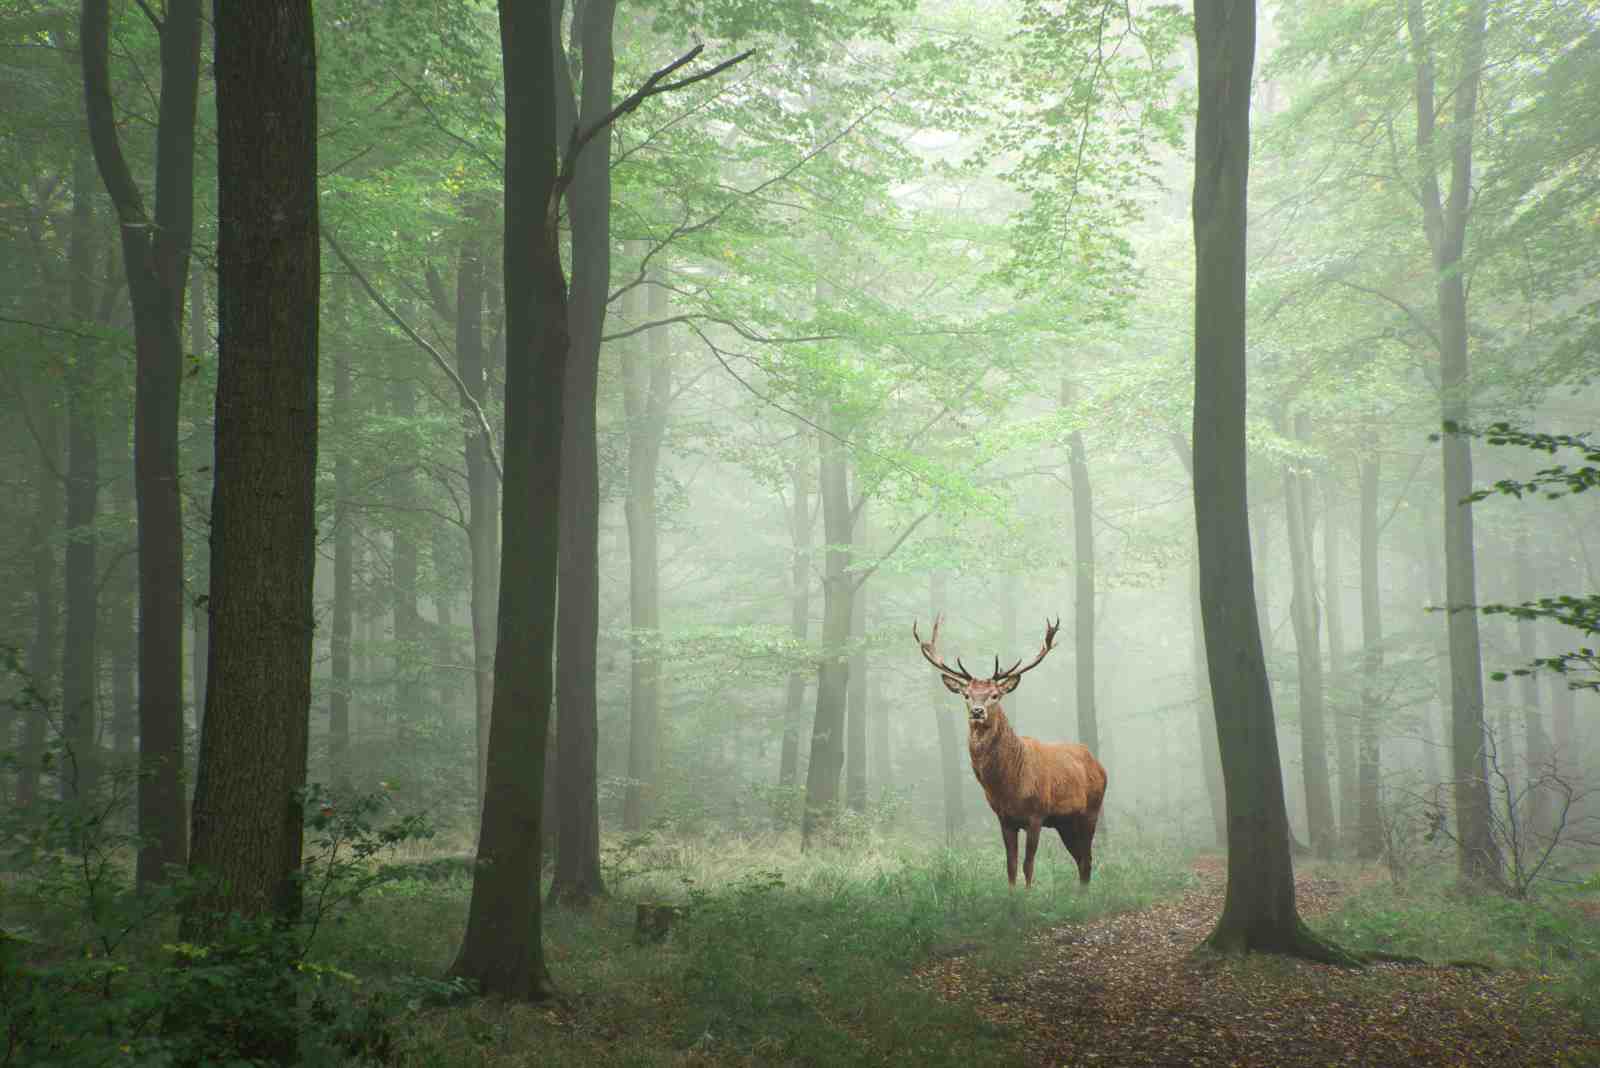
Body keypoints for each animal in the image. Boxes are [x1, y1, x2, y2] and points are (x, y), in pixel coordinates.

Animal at [915, 615, 1107, 888]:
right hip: (1065, 822)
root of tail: (1099, 766)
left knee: (1087, 860)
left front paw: (1027, 895)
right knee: (1081, 860)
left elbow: (1028, 865)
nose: (977, 711)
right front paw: (1012, 894)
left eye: (995, 695)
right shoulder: (1005, 819)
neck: (1009, 785)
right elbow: (1011, 866)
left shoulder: (1036, 815)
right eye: (966, 694)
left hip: (1091, 811)